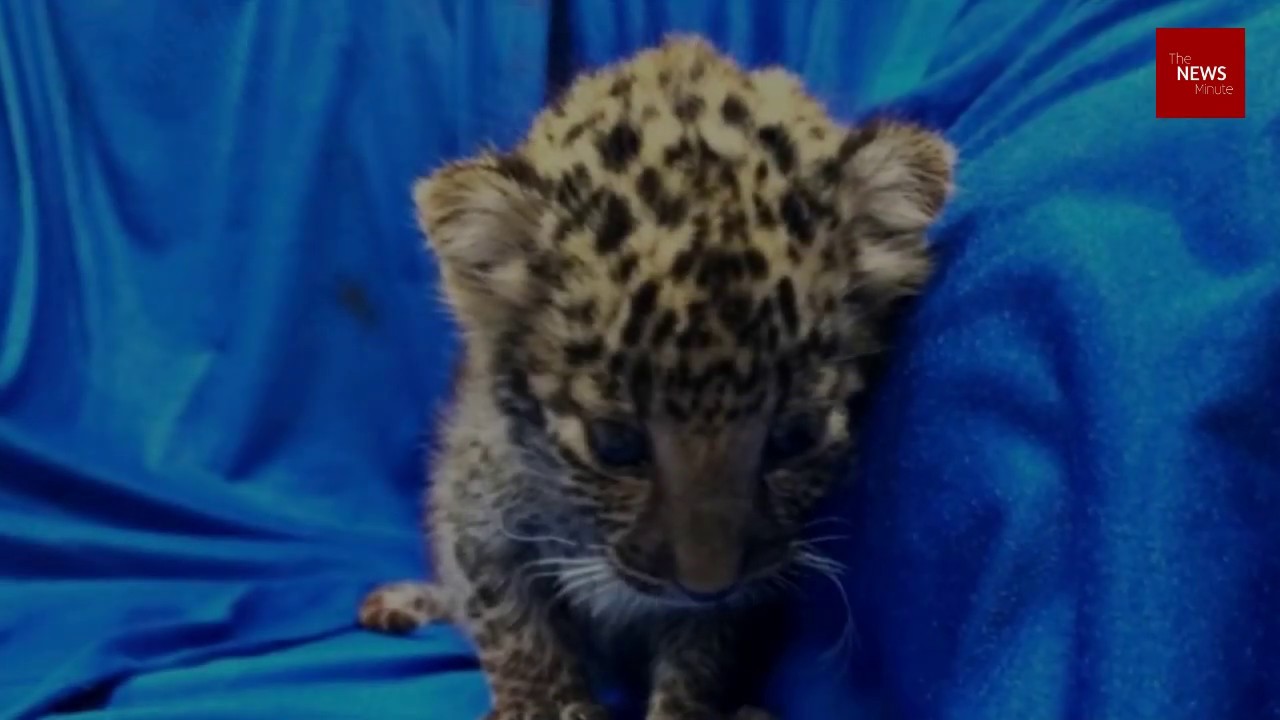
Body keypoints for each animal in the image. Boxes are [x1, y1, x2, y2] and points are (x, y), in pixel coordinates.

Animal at [358, 34, 955, 720]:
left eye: (795, 436)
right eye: (616, 445)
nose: (705, 585)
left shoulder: (737, 602)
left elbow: (699, 661)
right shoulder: (477, 518)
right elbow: (513, 630)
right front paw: (544, 704)